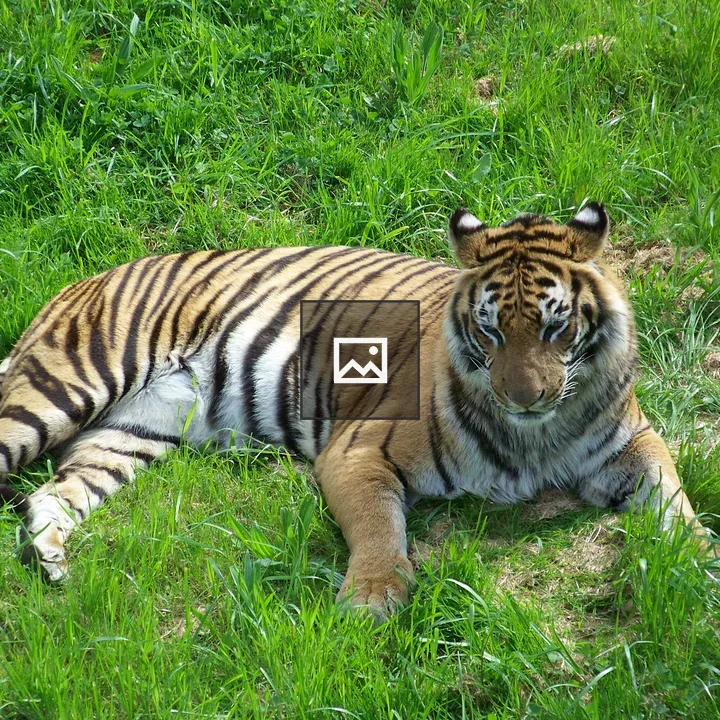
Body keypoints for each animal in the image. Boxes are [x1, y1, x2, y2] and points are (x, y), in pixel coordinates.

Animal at [0, 202, 711, 620]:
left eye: (555, 327)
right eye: (490, 332)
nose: (522, 397)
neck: (535, 434)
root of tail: (74, 285)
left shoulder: (633, 443)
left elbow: (674, 497)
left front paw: (703, 559)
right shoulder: (358, 451)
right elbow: (377, 528)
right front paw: (370, 600)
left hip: (130, 434)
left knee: (53, 493)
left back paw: (50, 560)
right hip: (65, 389)